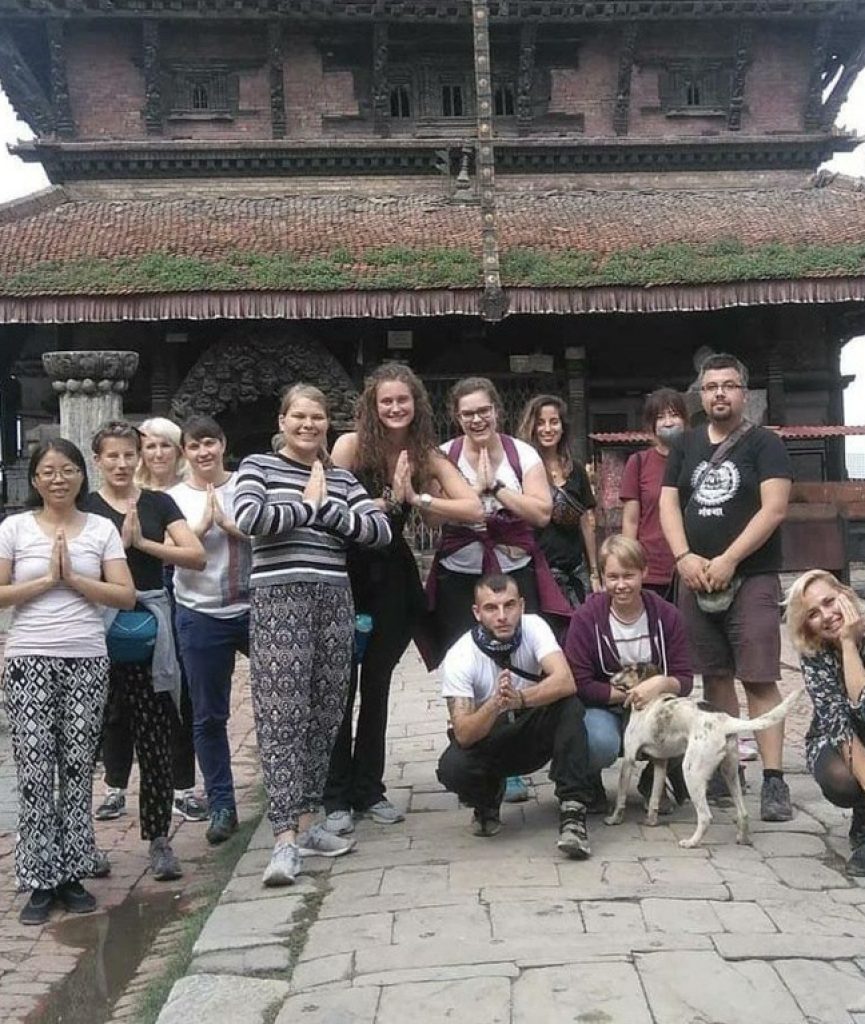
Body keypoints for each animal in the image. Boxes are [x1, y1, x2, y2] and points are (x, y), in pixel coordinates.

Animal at [606, 663, 798, 847]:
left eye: (627, 668)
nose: (610, 676)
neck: (652, 699)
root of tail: (725, 721)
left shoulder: (629, 759)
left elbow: (621, 799)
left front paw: (614, 819)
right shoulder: (660, 762)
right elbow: (654, 798)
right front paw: (651, 822)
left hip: (692, 772)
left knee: (706, 817)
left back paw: (691, 842)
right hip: (730, 772)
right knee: (743, 813)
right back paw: (743, 839)